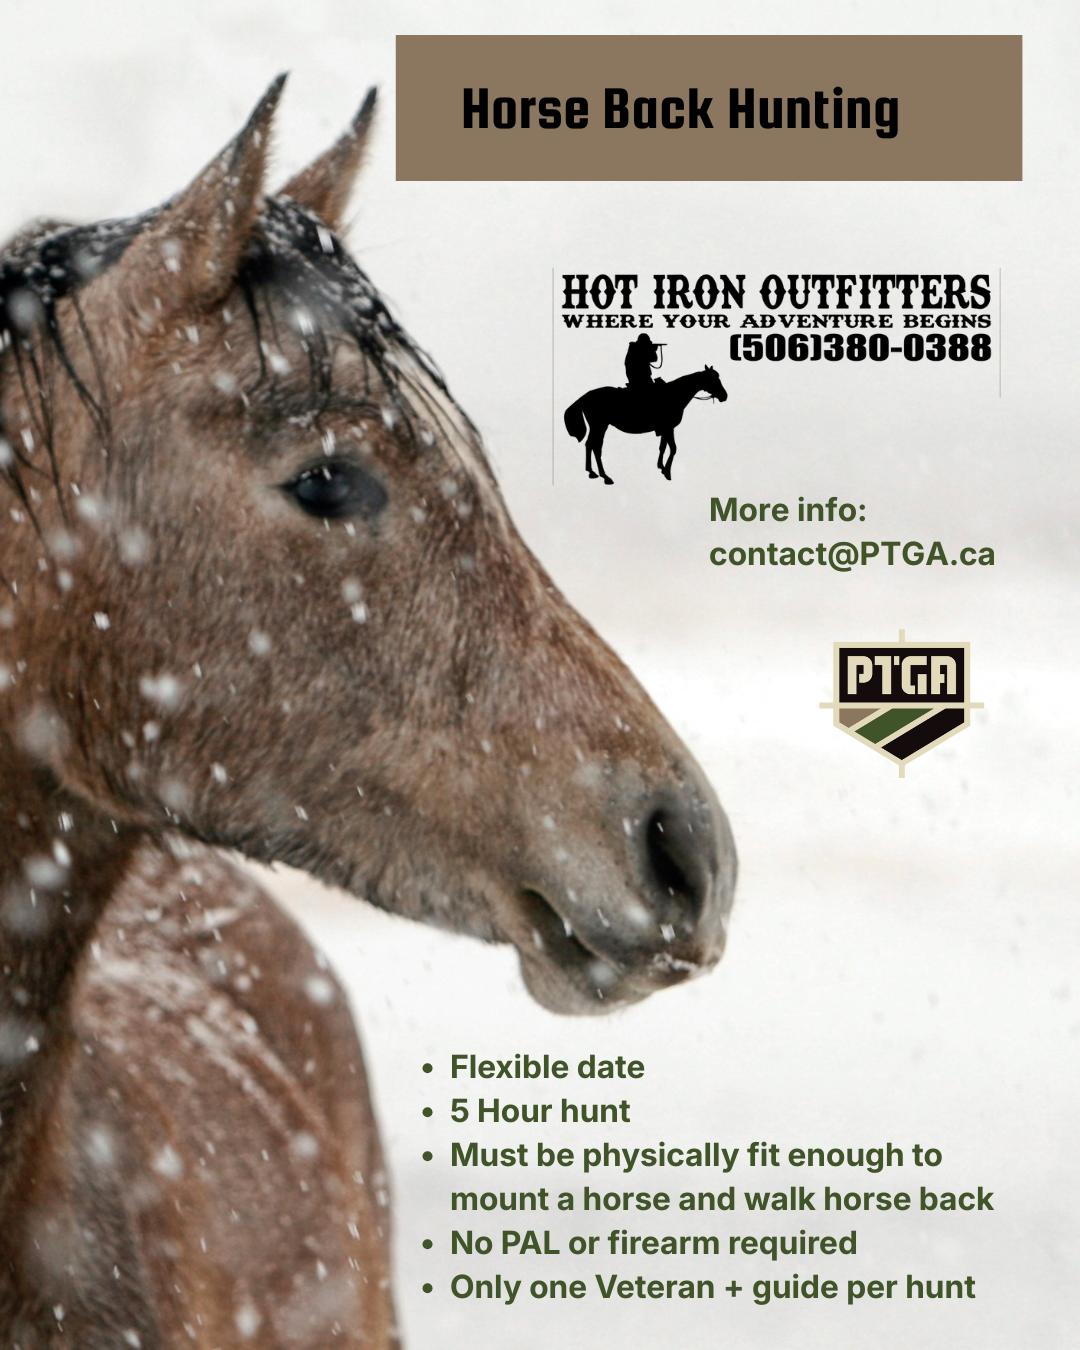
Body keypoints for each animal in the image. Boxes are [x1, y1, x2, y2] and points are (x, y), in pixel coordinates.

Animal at [563, 365, 728, 484]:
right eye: (713, 379)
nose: (724, 396)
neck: (674, 394)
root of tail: (586, 396)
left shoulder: (666, 428)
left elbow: (663, 447)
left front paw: (661, 467)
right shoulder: (669, 427)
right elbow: (673, 448)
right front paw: (668, 472)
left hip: (598, 426)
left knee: (590, 445)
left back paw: (592, 472)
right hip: (600, 426)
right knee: (596, 447)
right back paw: (605, 476)